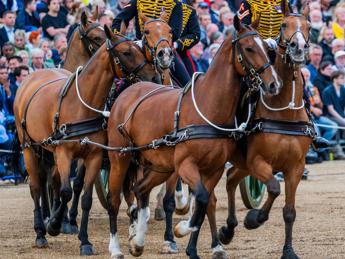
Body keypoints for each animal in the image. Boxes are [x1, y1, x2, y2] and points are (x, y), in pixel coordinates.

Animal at [13, 26, 159, 256]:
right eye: (126, 52)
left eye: (139, 48)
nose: (153, 76)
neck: (81, 104)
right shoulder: (64, 153)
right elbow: (65, 191)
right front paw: (54, 224)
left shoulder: (94, 156)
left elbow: (86, 198)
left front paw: (84, 241)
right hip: (29, 147)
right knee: (36, 186)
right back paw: (40, 231)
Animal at [106, 17, 280, 258]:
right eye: (248, 48)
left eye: (267, 48)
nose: (273, 84)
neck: (209, 108)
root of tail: (128, 92)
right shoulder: (186, 165)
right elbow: (202, 199)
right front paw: (180, 230)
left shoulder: (214, 169)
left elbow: (205, 203)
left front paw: (197, 245)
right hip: (119, 159)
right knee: (114, 199)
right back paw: (115, 247)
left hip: (160, 166)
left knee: (140, 189)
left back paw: (138, 241)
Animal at [218, 2, 312, 259]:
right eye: (284, 25)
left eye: (309, 27)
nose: (298, 48)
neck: (286, 111)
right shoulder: (258, 161)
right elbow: (273, 187)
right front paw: (254, 218)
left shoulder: (295, 168)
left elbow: (289, 211)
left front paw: (288, 251)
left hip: (242, 163)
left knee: (231, 179)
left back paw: (228, 229)